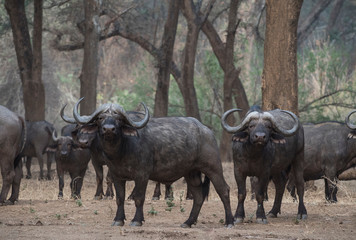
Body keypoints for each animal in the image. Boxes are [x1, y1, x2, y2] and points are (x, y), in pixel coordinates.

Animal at [68, 98, 235, 229]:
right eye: (101, 118)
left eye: (119, 119)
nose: (109, 129)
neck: (122, 150)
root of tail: (207, 132)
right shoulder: (116, 176)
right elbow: (119, 198)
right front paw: (118, 220)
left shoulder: (142, 175)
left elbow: (139, 198)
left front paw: (136, 220)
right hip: (191, 173)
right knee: (199, 196)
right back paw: (188, 222)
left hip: (213, 168)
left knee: (224, 191)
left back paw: (229, 222)